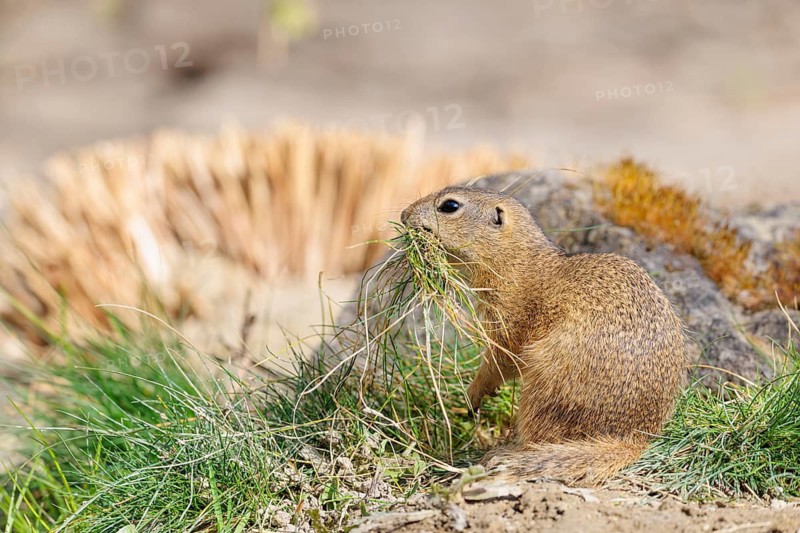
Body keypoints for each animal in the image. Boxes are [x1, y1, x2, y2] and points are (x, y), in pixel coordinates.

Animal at [400, 185, 689, 484]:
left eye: (450, 206)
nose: (403, 215)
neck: (521, 261)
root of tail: (633, 437)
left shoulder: (510, 324)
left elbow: (500, 361)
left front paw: (473, 395)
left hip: (547, 383)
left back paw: (504, 454)